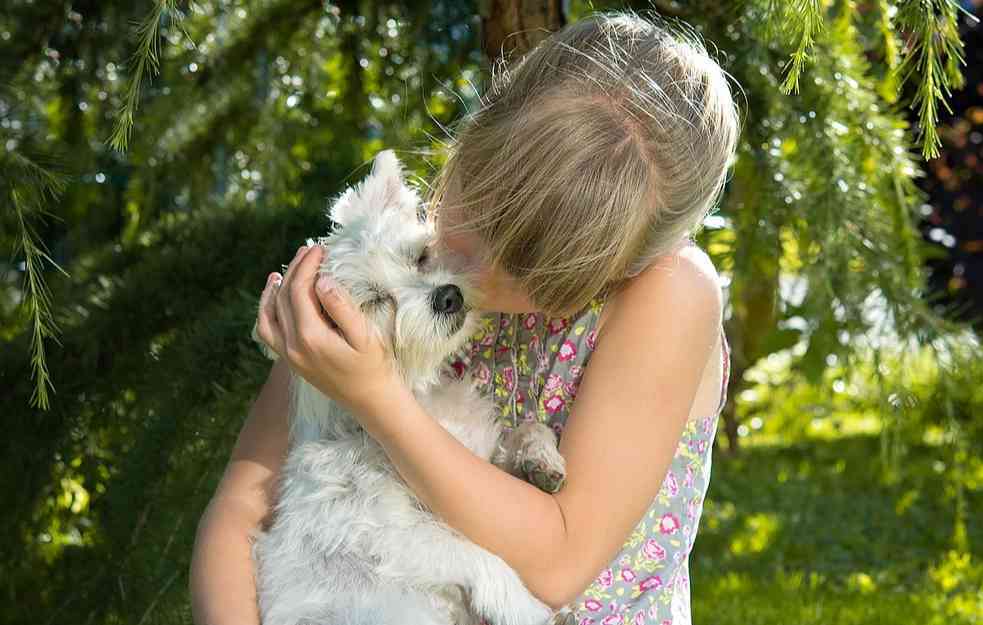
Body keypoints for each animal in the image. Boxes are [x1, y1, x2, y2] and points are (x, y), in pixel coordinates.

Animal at [250, 147, 564, 624]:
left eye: (421, 256)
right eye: (376, 300)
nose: (448, 295)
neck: (419, 400)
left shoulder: (476, 461)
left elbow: (528, 429)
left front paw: (541, 460)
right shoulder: (391, 535)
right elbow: (481, 558)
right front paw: (527, 608)